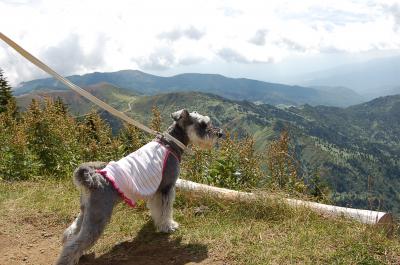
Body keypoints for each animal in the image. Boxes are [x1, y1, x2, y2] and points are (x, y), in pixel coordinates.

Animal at [56, 109, 223, 264]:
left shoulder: (157, 191)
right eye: (203, 124)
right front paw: (168, 226)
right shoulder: (166, 188)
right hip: (98, 216)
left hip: (87, 211)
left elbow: (157, 209)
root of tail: (93, 180)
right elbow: (165, 210)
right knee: (75, 244)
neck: (170, 143)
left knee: (71, 233)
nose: (220, 134)